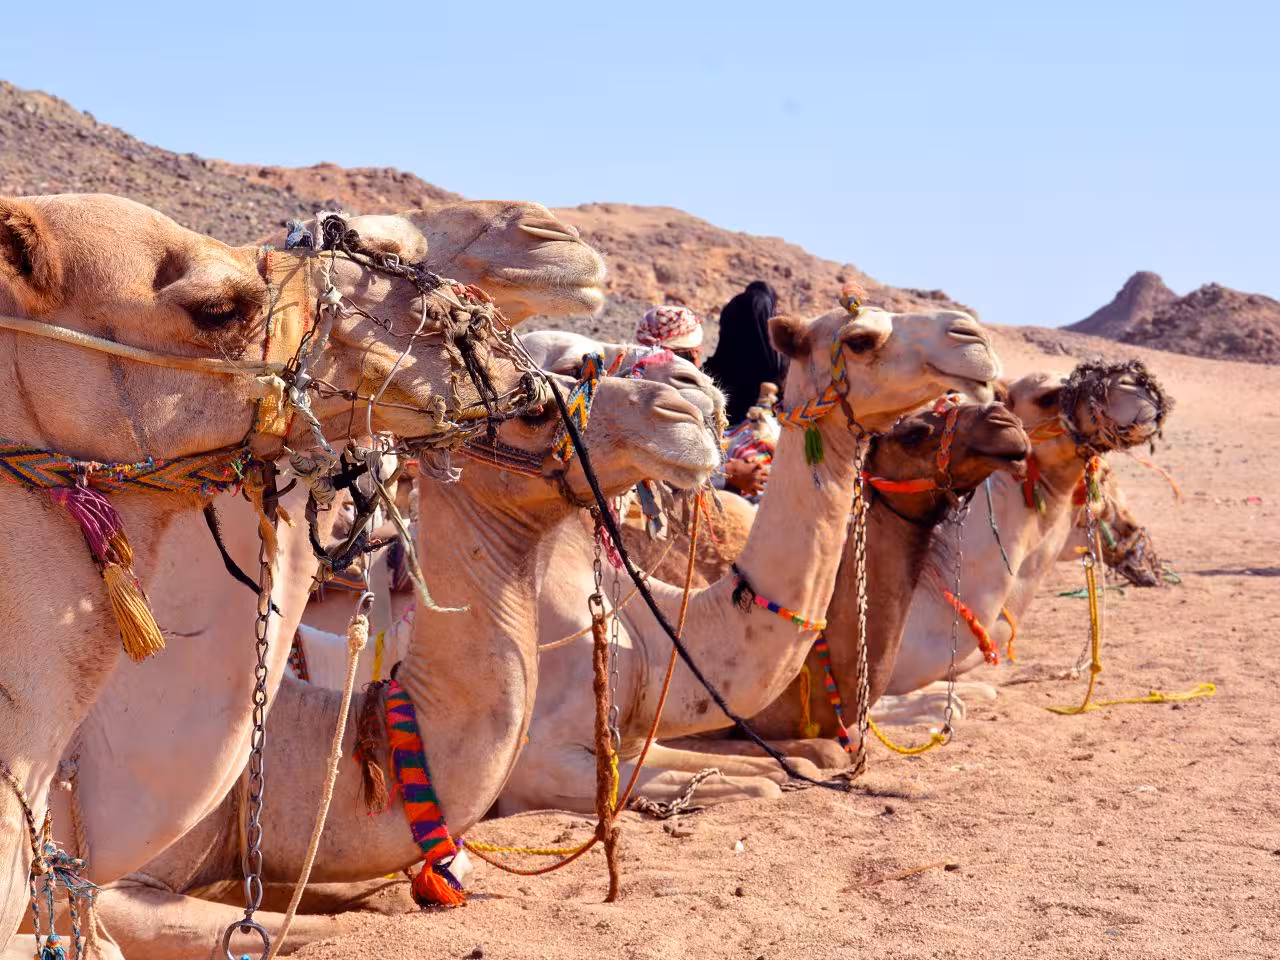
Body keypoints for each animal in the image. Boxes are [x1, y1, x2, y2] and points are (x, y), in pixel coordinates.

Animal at [497, 303, 1004, 814]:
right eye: (859, 339)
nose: (971, 334)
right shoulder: (539, 764)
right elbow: (763, 783)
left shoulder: (642, 742)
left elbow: (784, 769)